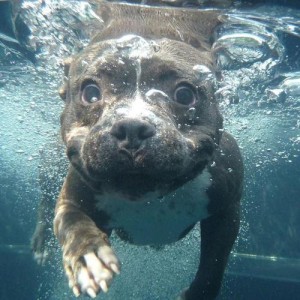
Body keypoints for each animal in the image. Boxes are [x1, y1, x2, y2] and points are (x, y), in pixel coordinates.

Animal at [35, 1, 244, 298]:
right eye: (91, 92)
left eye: (184, 95)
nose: (131, 127)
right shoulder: (71, 198)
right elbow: (73, 224)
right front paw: (87, 256)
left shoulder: (227, 209)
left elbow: (213, 264)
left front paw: (197, 293)